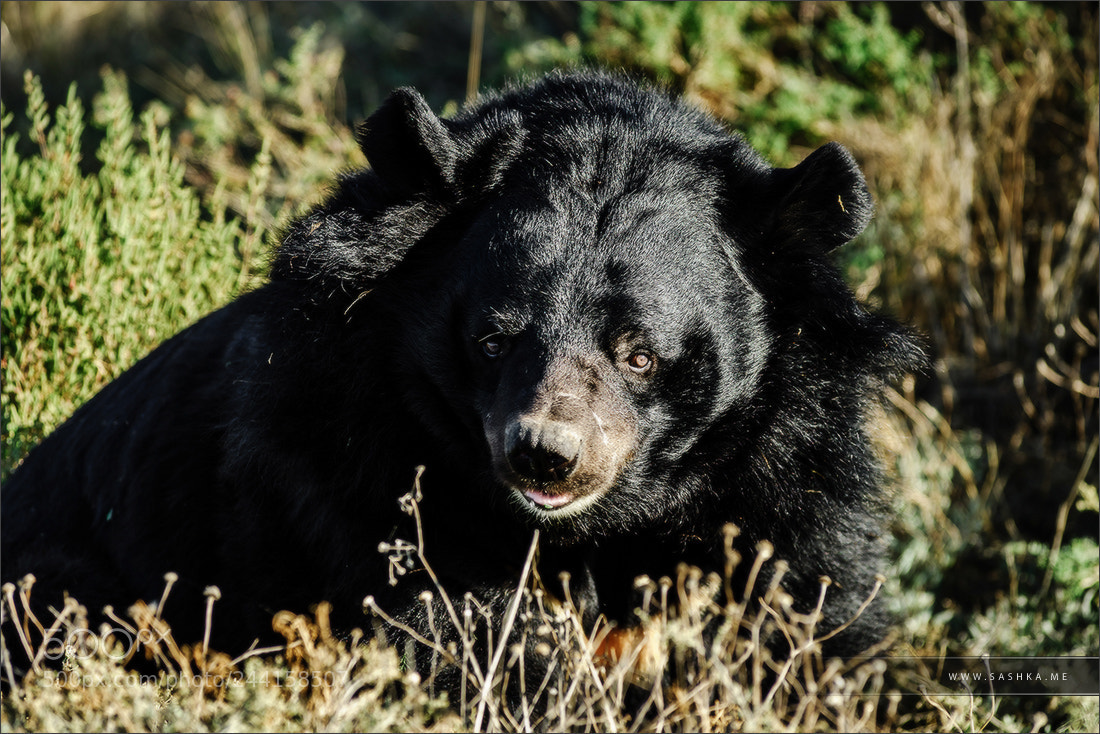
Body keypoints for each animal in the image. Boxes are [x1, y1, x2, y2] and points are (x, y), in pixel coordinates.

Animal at [2, 71, 924, 692]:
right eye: (493, 338)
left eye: (640, 354)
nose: (546, 456)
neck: (588, 531)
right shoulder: (357, 463)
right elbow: (455, 628)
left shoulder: (788, 469)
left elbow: (810, 612)